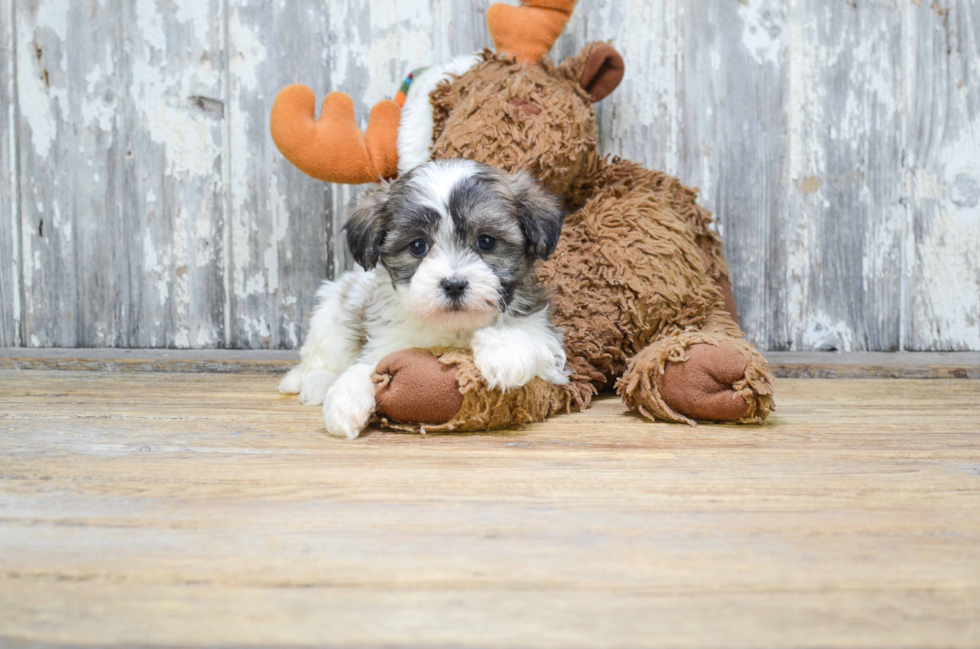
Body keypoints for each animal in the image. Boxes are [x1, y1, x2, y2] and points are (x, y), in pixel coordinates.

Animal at [280, 159, 572, 438]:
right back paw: (315, 382)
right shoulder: (386, 340)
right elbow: (370, 365)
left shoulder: (545, 335)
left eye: (486, 241)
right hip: (334, 310)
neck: (453, 328)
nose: (453, 285)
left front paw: (504, 353)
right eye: (418, 246)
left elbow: (528, 335)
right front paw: (345, 400)